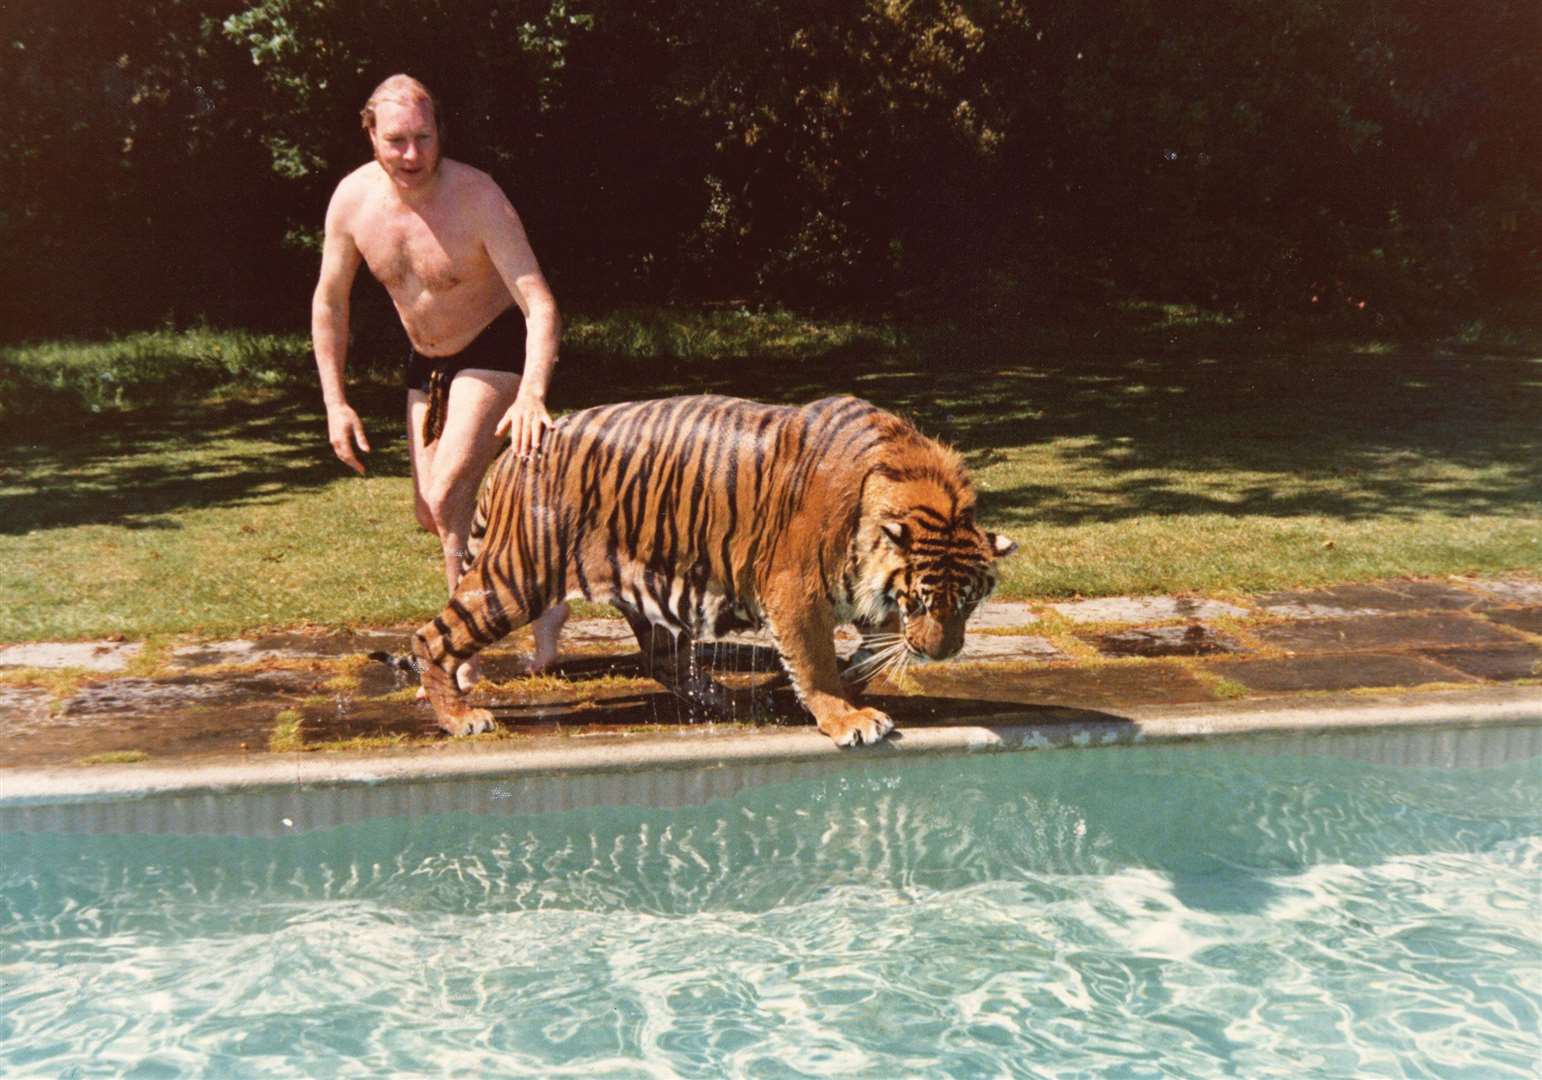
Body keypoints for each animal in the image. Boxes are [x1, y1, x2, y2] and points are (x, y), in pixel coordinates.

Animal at [410, 391, 1017, 746]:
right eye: (923, 599)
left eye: (967, 604)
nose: (942, 653)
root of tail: (516, 454)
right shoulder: (796, 592)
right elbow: (816, 661)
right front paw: (847, 716)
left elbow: (871, 649)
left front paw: (843, 681)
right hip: (515, 577)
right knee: (431, 640)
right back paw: (461, 718)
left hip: (647, 589)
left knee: (665, 662)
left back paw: (734, 699)